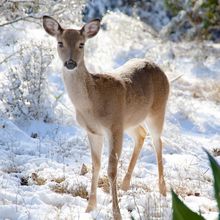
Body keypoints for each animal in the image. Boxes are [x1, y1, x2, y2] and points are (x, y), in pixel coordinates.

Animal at [43, 15, 170, 220]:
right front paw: (89, 208)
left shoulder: (114, 126)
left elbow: (111, 169)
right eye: (59, 43)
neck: (92, 103)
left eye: (82, 44)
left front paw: (116, 213)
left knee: (158, 142)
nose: (70, 63)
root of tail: (159, 68)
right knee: (141, 134)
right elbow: (96, 165)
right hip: (131, 120)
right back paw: (126, 184)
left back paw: (163, 190)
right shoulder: (94, 131)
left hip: (158, 110)